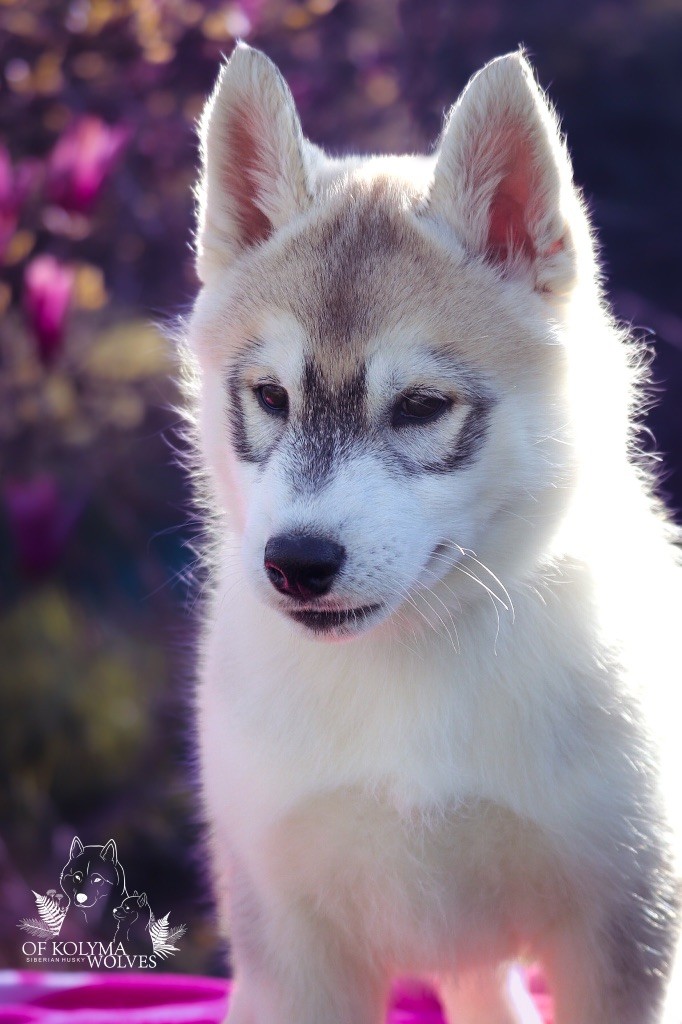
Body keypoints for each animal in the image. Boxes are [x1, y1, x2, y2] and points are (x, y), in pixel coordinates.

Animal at [184, 43, 682, 1024]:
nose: (296, 563)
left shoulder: (622, 928)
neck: (408, 671)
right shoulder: (289, 953)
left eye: (419, 407)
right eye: (270, 397)